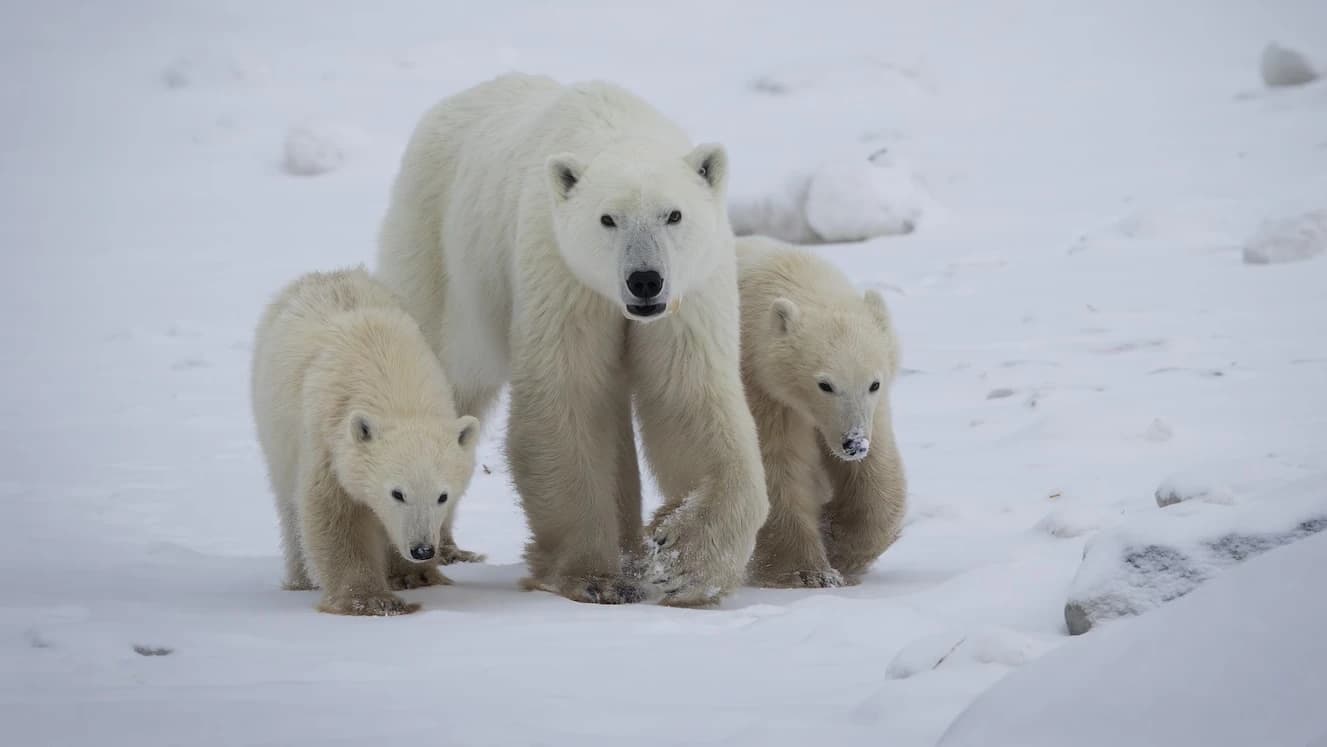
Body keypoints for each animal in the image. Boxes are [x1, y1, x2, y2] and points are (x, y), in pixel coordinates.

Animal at [251, 267, 481, 616]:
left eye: (443, 496)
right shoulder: (329, 440)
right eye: (397, 493)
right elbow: (335, 515)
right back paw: (301, 580)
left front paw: (415, 576)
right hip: (275, 430)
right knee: (289, 506)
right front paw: (371, 600)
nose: (423, 549)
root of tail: (327, 274)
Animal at [375, 73, 768, 607]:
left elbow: (688, 399)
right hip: (439, 255)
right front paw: (594, 578)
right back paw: (431, 553)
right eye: (607, 219)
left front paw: (683, 563)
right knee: (444, 379)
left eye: (674, 215)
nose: (645, 280)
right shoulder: (563, 275)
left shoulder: (689, 295)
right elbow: (568, 401)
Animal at [735, 236, 907, 587]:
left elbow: (876, 474)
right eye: (825, 385)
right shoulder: (763, 390)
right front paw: (809, 572)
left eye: (874, 383)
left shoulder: (874, 411)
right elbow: (778, 467)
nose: (853, 443)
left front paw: (841, 543)